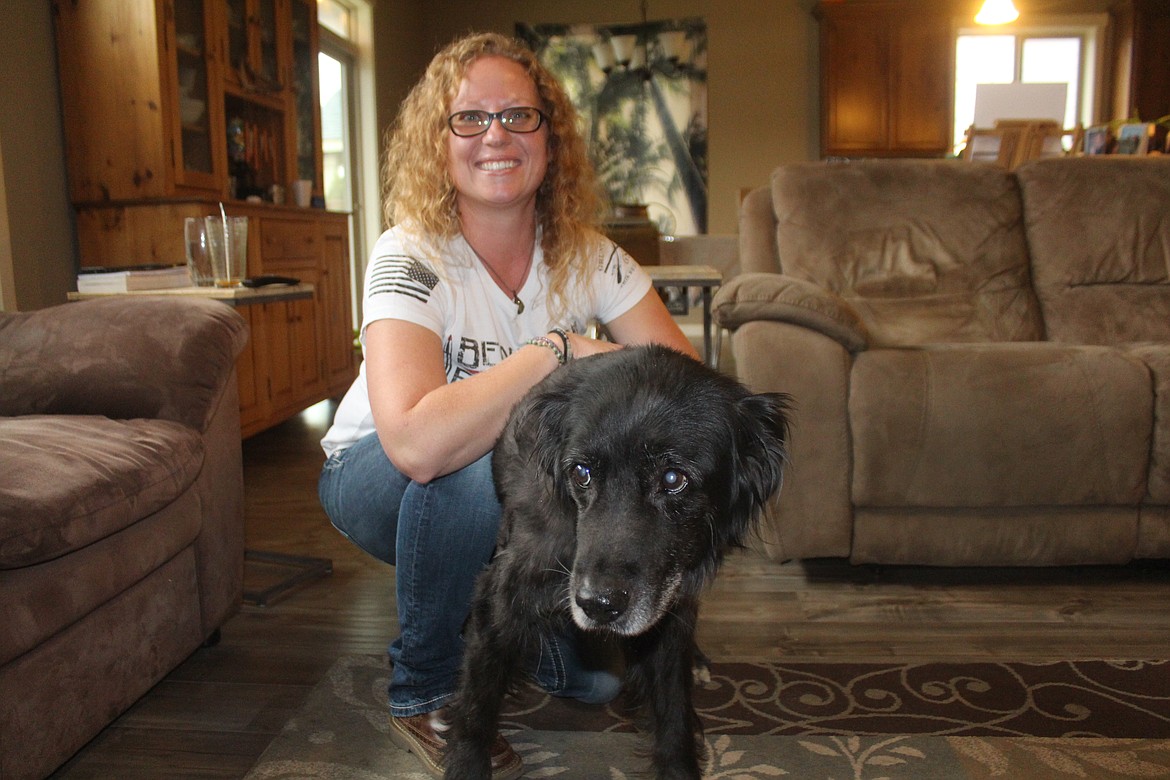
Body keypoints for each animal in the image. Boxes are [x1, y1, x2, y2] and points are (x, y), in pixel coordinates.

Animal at [442, 343, 790, 776]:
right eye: (582, 472)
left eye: (673, 479)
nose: (597, 606)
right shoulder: (503, 593)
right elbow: (478, 700)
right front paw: (466, 764)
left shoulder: (668, 608)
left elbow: (673, 713)